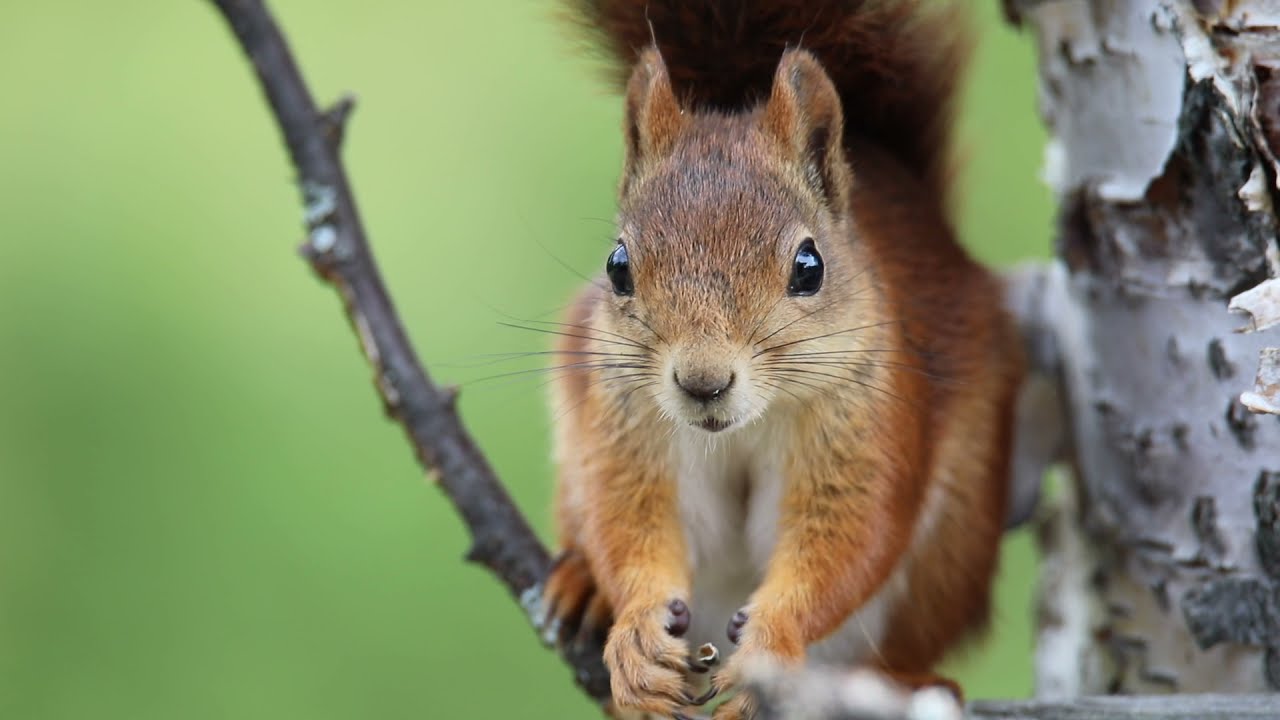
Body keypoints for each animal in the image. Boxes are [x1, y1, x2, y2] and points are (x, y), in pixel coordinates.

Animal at [535, 1, 1025, 718]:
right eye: (618, 265)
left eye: (809, 267)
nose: (703, 382)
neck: (744, 426)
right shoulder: (624, 422)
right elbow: (625, 519)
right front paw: (636, 641)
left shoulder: (866, 422)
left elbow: (850, 536)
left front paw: (771, 642)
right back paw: (581, 586)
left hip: (952, 546)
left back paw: (909, 682)